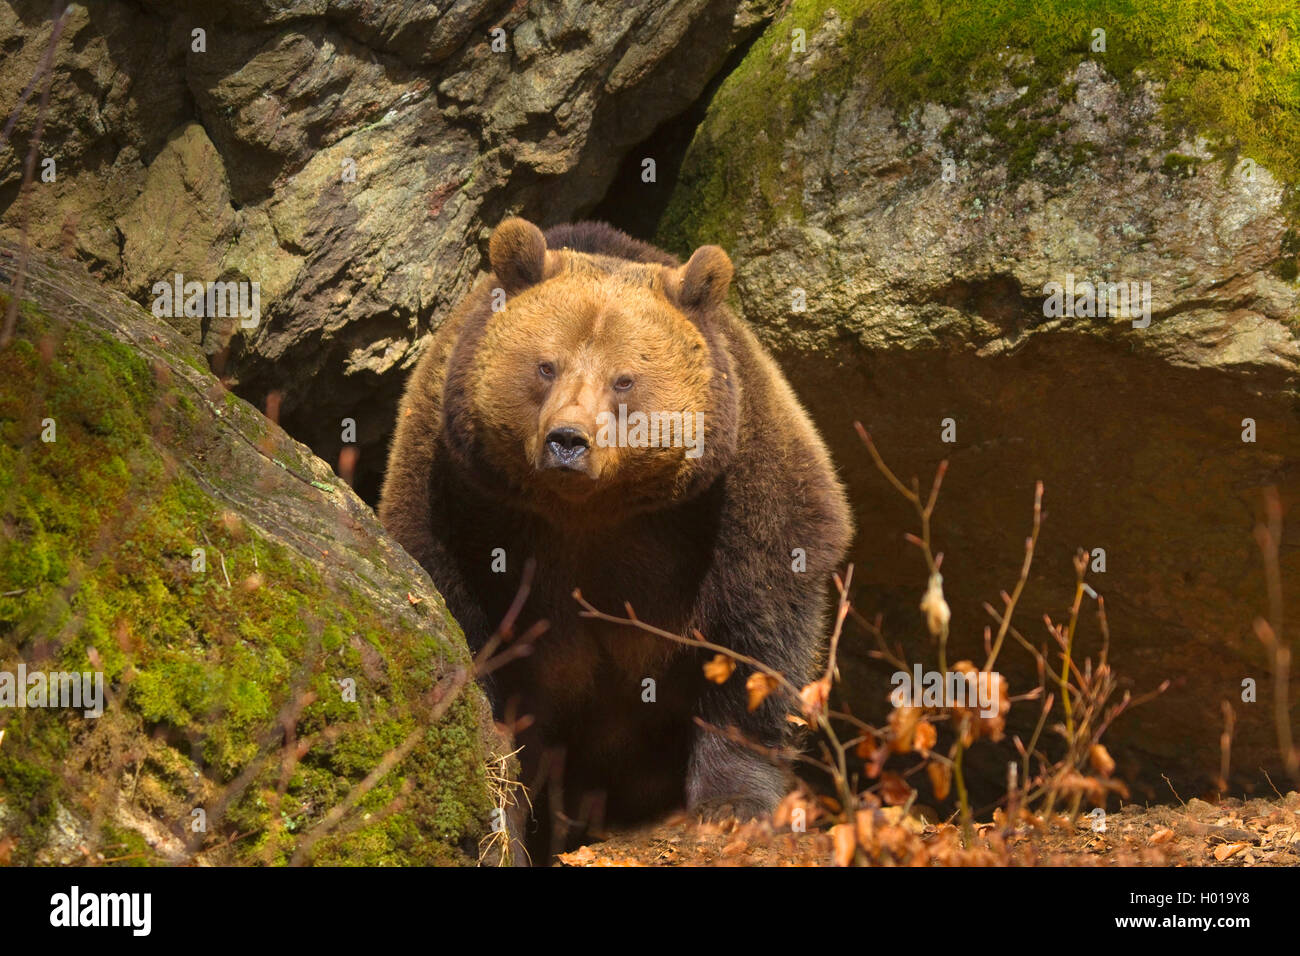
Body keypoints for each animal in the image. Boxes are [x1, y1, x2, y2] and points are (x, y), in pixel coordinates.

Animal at [378, 217, 852, 857]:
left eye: (624, 379)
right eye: (546, 366)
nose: (567, 440)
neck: (594, 510)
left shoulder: (735, 500)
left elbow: (756, 639)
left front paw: (732, 804)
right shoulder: (461, 501)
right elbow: (474, 638)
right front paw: (503, 806)